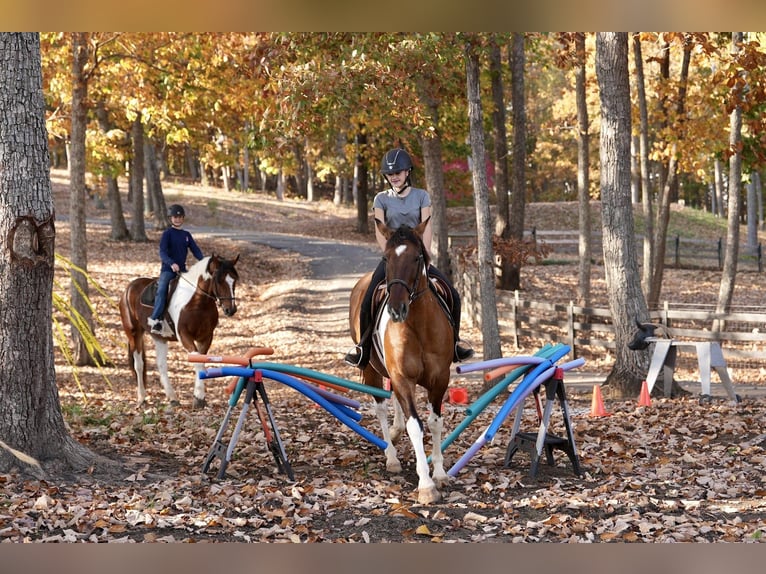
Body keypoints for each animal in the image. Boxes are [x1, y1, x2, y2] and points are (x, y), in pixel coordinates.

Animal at [119, 254, 240, 409]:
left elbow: (201, 361)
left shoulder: (206, 337)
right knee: (138, 364)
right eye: (219, 281)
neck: (197, 302)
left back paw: (172, 397)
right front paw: (199, 397)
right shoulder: (184, 336)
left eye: (234, 280)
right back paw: (141, 398)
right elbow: (197, 362)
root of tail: (129, 288)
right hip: (134, 333)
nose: (231, 310)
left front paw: (199, 397)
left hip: (160, 339)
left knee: (161, 365)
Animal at [348, 218, 454, 504]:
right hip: (372, 369)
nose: (396, 309)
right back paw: (392, 457)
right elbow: (415, 426)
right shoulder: (404, 379)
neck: (419, 325)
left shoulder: (440, 379)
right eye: (386, 258)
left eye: (417, 257)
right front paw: (426, 486)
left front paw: (440, 473)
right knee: (382, 408)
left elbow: (435, 423)